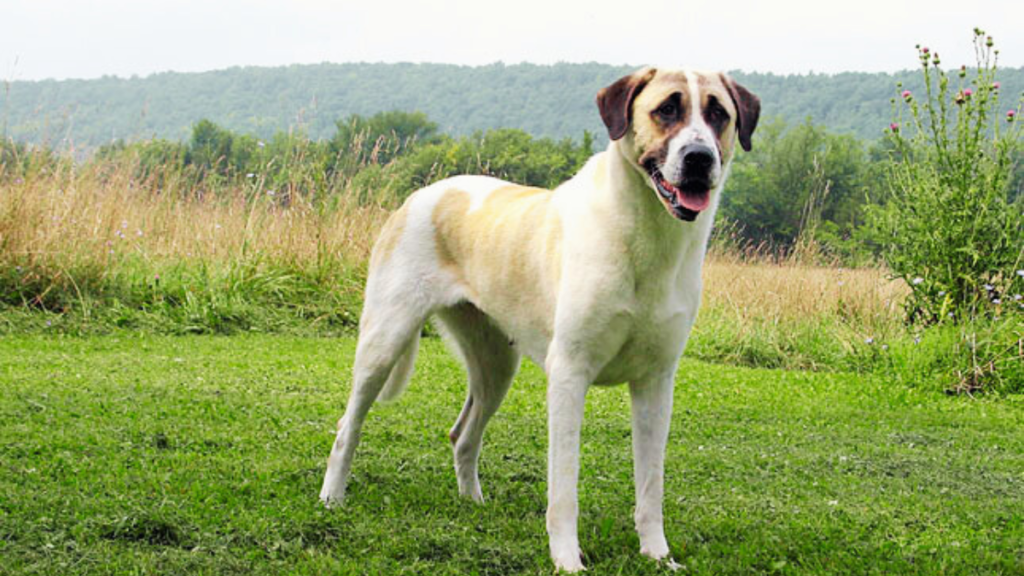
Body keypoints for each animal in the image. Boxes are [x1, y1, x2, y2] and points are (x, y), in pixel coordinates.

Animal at [319, 67, 761, 569]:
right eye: (667, 109)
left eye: (718, 113)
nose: (699, 158)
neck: (646, 234)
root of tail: (422, 193)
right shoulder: (569, 373)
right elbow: (564, 486)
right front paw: (568, 560)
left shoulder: (656, 382)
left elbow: (651, 485)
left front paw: (657, 555)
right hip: (384, 340)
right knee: (347, 427)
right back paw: (332, 498)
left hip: (496, 365)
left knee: (463, 434)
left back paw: (473, 502)